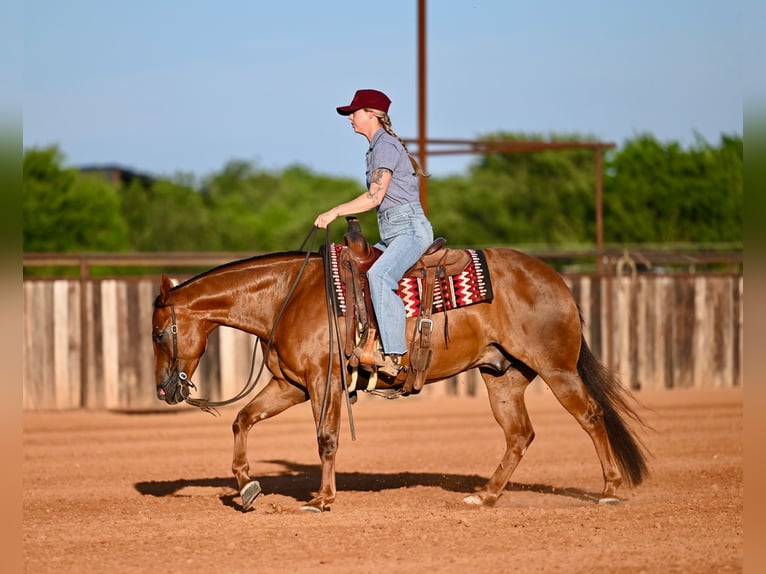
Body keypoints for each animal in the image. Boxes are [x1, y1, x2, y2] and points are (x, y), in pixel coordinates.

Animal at [151, 241, 649, 512]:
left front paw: (322, 499)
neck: (287, 296)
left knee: (591, 415)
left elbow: (326, 438)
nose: (162, 389)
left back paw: (609, 490)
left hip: (556, 368)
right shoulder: (289, 386)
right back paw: (485, 496)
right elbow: (243, 420)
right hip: (503, 376)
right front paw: (248, 488)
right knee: (519, 435)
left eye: (158, 332)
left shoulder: (323, 382)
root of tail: (557, 281)